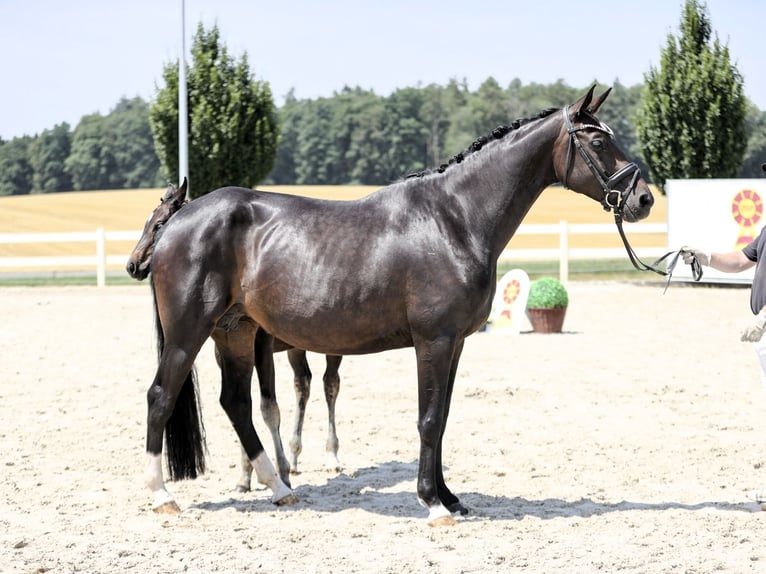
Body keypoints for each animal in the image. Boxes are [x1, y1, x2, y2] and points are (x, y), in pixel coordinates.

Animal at [126, 180, 343, 477]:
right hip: (297, 347)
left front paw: (279, 469)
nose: (132, 265)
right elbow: (240, 404)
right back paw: (296, 455)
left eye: (159, 224)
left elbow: (268, 407)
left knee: (330, 384)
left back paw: (331, 455)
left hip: (331, 347)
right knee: (303, 384)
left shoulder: (262, 347)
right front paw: (247, 473)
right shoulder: (227, 350)